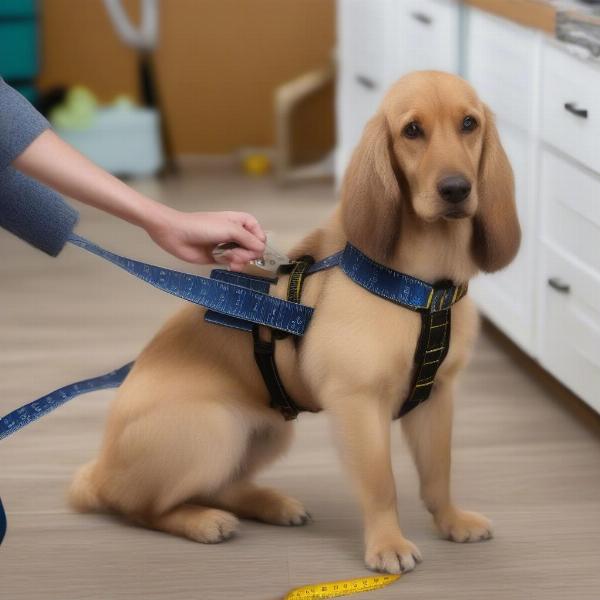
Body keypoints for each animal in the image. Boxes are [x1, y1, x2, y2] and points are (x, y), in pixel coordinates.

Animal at [69, 72, 520, 576]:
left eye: (469, 124)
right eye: (412, 131)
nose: (457, 189)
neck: (425, 288)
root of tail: (98, 471)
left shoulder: (437, 396)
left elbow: (438, 473)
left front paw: (451, 520)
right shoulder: (358, 404)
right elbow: (381, 482)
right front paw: (387, 543)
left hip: (268, 430)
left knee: (217, 486)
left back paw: (270, 503)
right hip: (216, 429)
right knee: (140, 507)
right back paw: (203, 521)